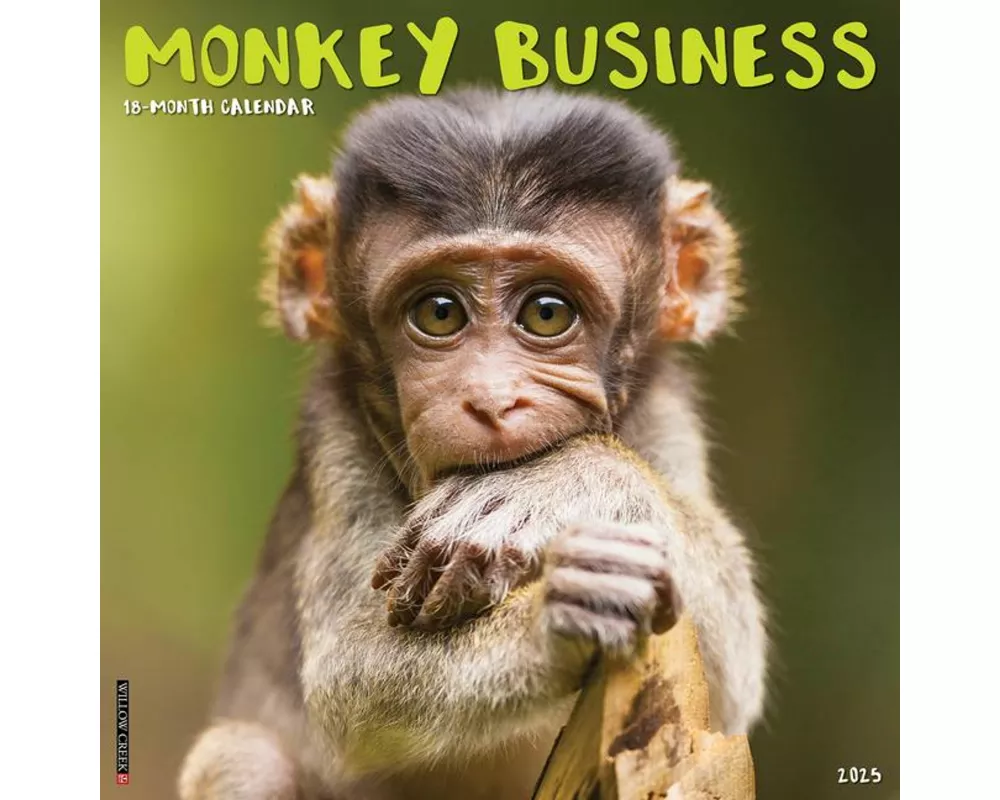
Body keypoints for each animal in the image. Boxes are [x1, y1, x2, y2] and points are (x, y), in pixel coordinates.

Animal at [178, 88, 767, 800]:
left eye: (547, 312)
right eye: (439, 312)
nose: (490, 397)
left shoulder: (668, 405)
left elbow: (727, 687)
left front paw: (553, 484)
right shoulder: (334, 430)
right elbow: (350, 681)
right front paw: (559, 618)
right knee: (243, 755)